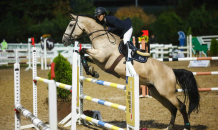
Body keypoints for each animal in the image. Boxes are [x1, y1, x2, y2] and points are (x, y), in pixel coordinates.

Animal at [62, 13, 200, 130]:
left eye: (70, 25)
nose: (64, 40)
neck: (102, 38)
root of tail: (171, 70)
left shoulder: (101, 56)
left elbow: (83, 50)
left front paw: (91, 71)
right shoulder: (98, 60)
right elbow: (83, 54)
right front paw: (91, 71)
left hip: (167, 92)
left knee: (181, 106)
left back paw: (186, 126)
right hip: (157, 93)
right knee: (172, 108)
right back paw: (169, 126)